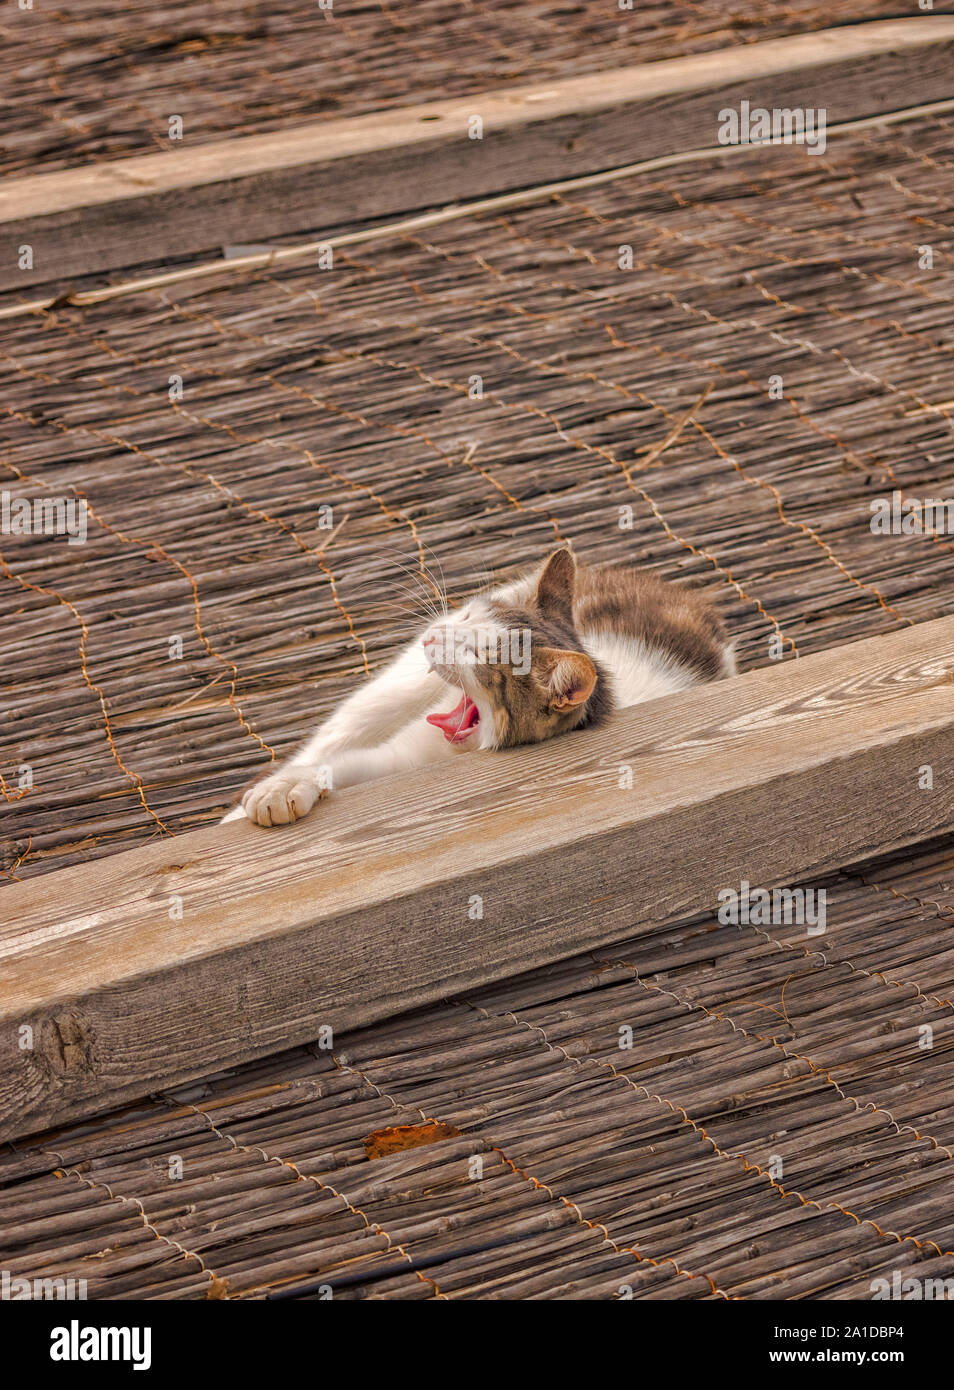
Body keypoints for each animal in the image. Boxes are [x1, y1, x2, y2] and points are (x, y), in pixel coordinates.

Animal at [226, 544, 739, 822]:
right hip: (397, 688)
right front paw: (286, 790)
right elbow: (338, 764)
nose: (436, 636)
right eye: (471, 617)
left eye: (481, 656)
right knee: (336, 734)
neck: (464, 749)